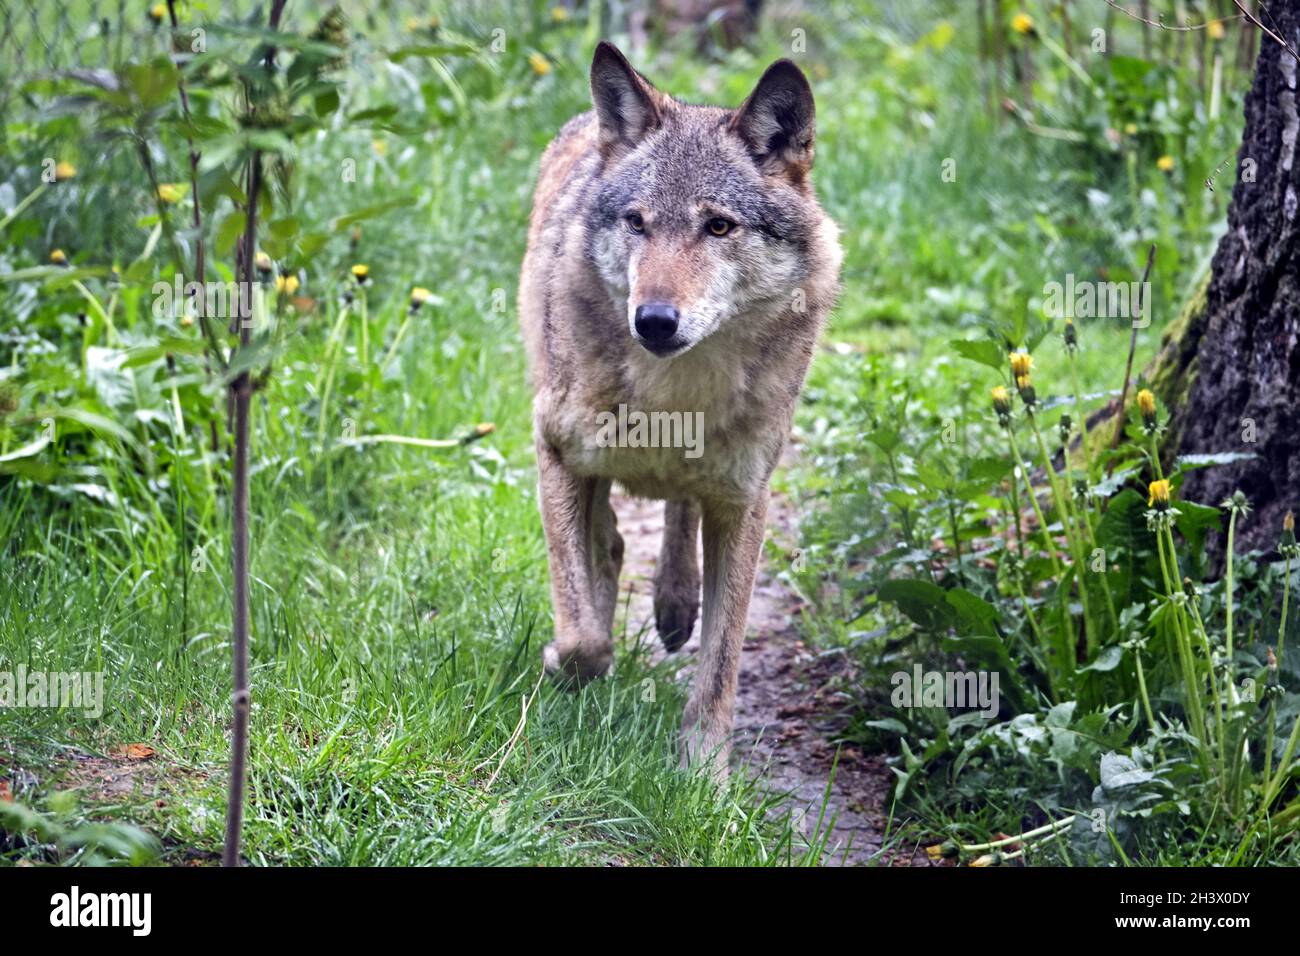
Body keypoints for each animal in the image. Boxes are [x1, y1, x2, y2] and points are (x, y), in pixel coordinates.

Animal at [517, 42, 842, 780]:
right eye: (637, 221)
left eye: (718, 225)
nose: (654, 321)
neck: (675, 396)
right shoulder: (555, 451)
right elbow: (582, 632)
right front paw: (565, 662)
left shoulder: (744, 503)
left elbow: (722, 659)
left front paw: (704, 770)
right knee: (611, 539)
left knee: (676, 511)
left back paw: (674, 599)